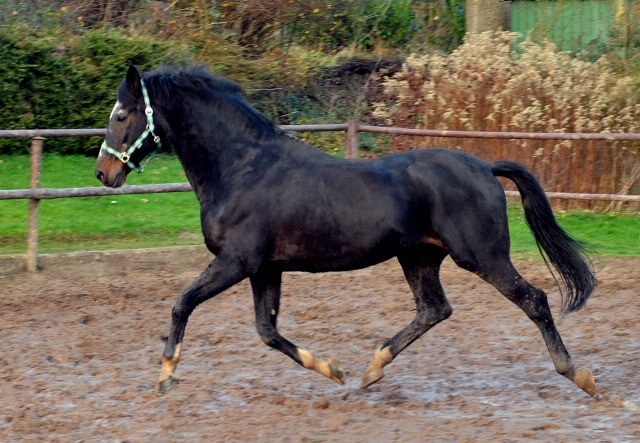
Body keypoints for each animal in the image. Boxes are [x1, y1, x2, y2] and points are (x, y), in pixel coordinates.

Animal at [96, 66, 600, 398]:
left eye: (121, 115)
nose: (103, 173)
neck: (242, 167)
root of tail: (484, 166)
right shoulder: (265, 268)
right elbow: (267, 331)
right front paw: (334, 370)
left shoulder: (235, 262)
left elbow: (183, 303)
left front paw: (166, 375)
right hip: (418, 257)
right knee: (434, 309)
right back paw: (371, 370)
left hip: (483, 257)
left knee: (533, 300)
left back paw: (580, 376)